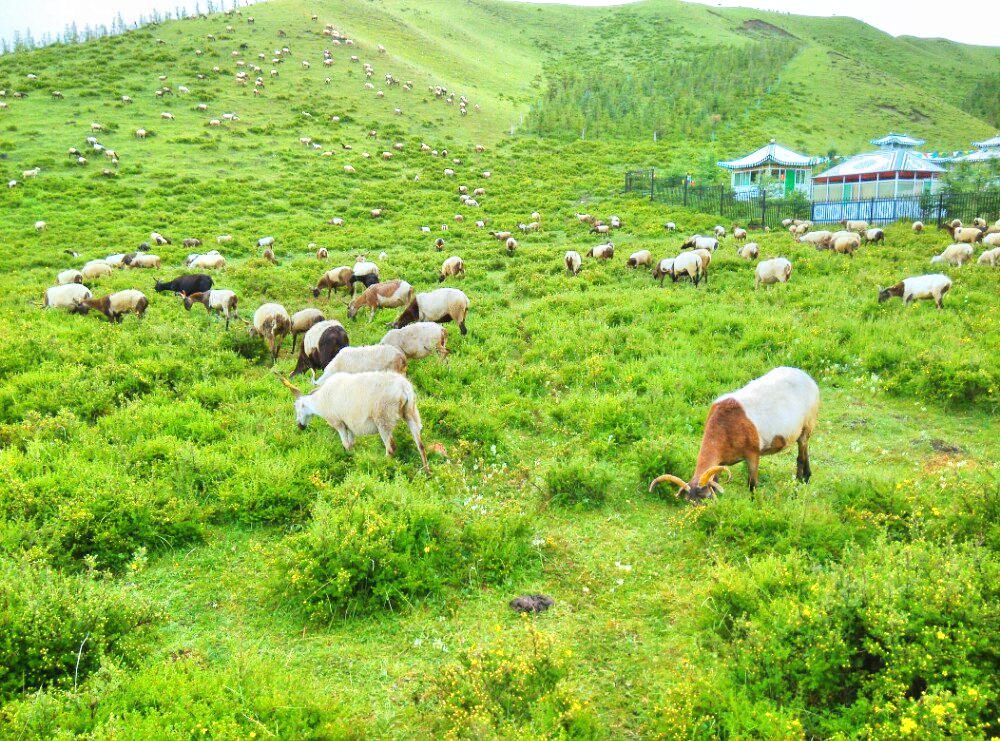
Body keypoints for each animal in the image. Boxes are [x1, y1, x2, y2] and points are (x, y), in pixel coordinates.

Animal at [278, 370, 430, 474]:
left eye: (296, 407)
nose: (300, 426)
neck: (319, 401)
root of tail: (404, 388)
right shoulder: (349, 425)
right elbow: (352, 444)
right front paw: (353, 458)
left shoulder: (338, 423)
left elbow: (346, 444)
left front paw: (348, 461)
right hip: (411, 413)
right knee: (420, 445)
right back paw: (427, 472)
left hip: (383, 419)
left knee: (391, 447)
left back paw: (383, 466)